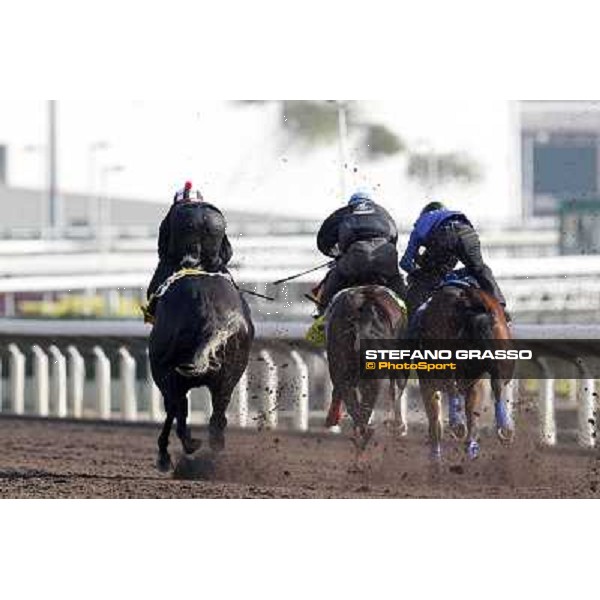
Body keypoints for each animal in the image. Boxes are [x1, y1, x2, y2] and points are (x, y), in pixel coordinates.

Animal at [414, 284, 512, 462]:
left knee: (453, 390)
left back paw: (457, 425)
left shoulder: (428, 382)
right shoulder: (476, 378)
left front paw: (435, 456)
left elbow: (435, 420)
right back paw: (503, 429)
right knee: (497, 389)